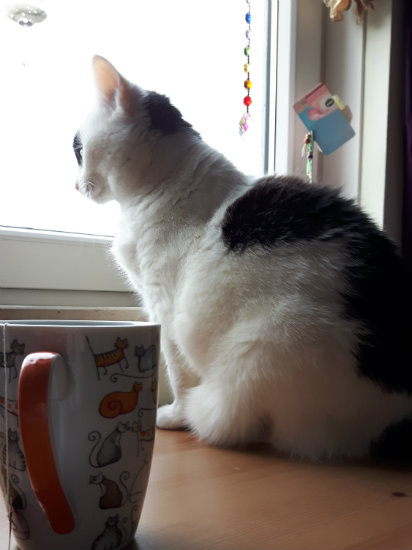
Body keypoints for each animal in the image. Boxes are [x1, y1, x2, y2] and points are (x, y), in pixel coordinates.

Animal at [74, 55, 412, 461]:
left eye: (77, 149)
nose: (75, 186)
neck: (164, 183)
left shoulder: (166, 309)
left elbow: (177, 372)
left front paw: (174, 415)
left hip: (270, 341)